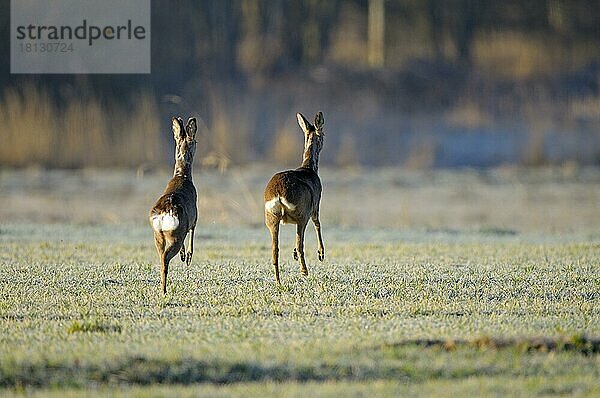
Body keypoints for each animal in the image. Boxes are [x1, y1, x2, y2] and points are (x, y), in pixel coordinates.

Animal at [149, 116, 198, 294]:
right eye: (195, 141)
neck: (182, 176)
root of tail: (163, 215)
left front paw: (185, 256)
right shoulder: (194, 218)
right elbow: (192, 234)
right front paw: (188, 256)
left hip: (158, 235)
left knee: (161, 257)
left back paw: (162, 289)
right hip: (175, 233)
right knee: (165, 258)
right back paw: (164, 290)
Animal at [264, 112, 326, 284]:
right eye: (323, 134)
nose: (324, 138)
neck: (309, 168)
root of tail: (278, 193)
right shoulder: (316, 204)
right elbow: (318, 224)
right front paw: (321, 253)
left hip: (271, 217)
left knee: (275, 249)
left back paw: (278, 280)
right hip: (301, 212)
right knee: (300, 244)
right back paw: (304, 271)